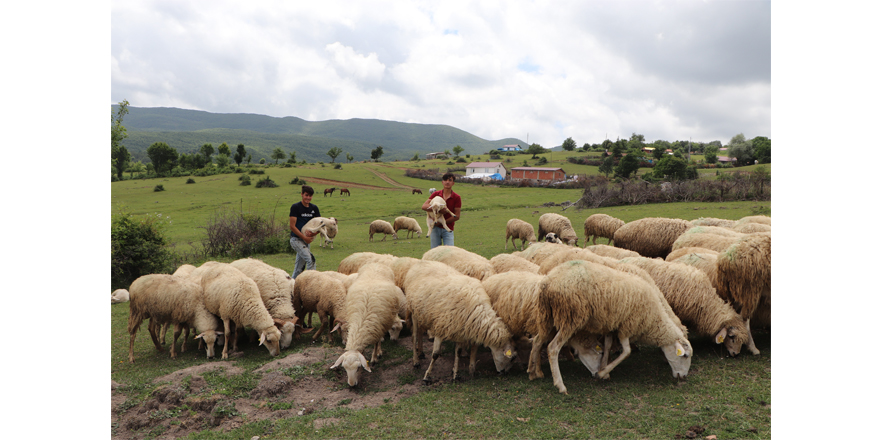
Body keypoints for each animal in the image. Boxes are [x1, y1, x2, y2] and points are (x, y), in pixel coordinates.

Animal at [528, 260, 696, 394]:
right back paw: (560, 385)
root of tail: (548, 282)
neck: (654, 317)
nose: (683, 377)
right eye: (685, 356)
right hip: (570, 317)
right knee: (552, 348)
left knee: (537, 340)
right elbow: (626, 352)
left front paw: (603, 368)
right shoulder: (627, 326)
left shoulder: (611, 324)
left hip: (546, 316)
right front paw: (603, 373)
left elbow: (608, 346)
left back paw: (533, 371)